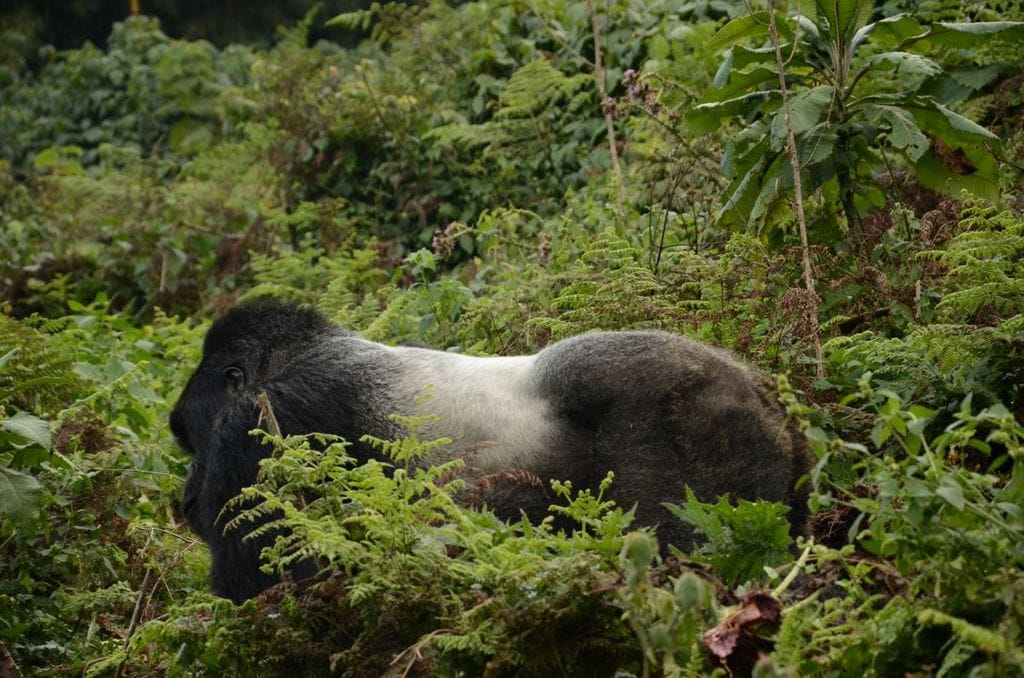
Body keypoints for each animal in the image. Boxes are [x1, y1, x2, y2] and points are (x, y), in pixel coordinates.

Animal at [169, 301, 815, 602]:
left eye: (190, 443)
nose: (188, 493)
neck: (297, 354)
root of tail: (772, 401)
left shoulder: (260, 422)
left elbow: (262, 578)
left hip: (697, 418)